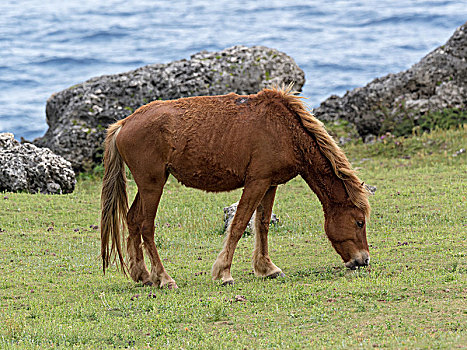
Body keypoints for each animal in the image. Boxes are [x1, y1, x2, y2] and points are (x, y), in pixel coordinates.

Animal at [100, 84, 372, 288]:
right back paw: (164, 279)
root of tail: (124, 124)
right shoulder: (256, 182)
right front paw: (225, 273)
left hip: (147, 186)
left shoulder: (270, 184)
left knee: (133, 220)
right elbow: (239, 225)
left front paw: (267, 268)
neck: (284, 130)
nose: (363, 260)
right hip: (152, 185)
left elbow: (262, 225)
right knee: (146, 226)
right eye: (360, 222)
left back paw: (144, 276)